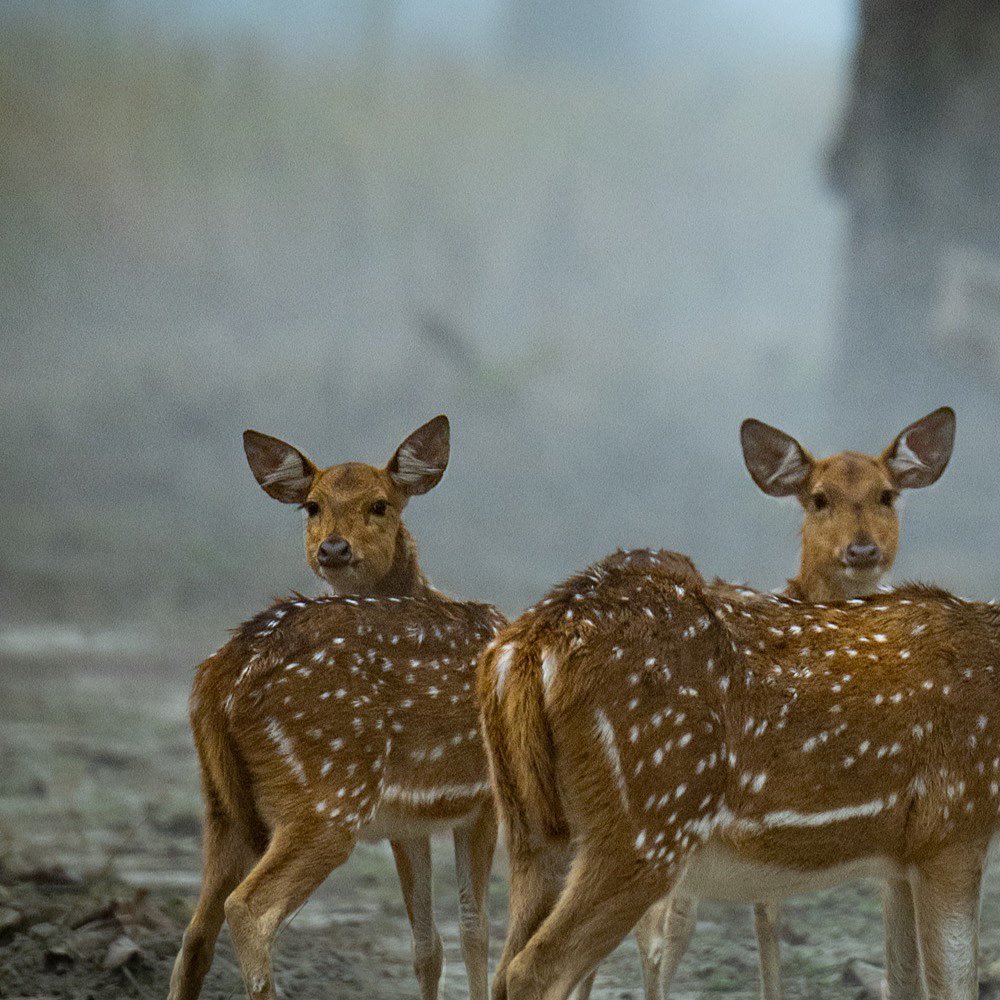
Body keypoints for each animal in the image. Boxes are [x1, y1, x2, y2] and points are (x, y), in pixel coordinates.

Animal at [168, 415, 508, 1000]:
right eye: (312, 505)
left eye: (381, 504)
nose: (333, 549)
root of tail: (220, 677)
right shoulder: (483, 798)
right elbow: (475, 928)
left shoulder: (409, 819)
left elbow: (429, 944)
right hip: (327, 789)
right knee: (248, 908)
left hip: (222, 803)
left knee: (193, 937)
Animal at [479, 548, 1000, 1000]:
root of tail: (524, 645)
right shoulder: (955, 823)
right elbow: (955, 985)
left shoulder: (901, 859)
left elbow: (905, 981)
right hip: (647, 823)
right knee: (533, 970)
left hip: (532, 829)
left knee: (503, 969)